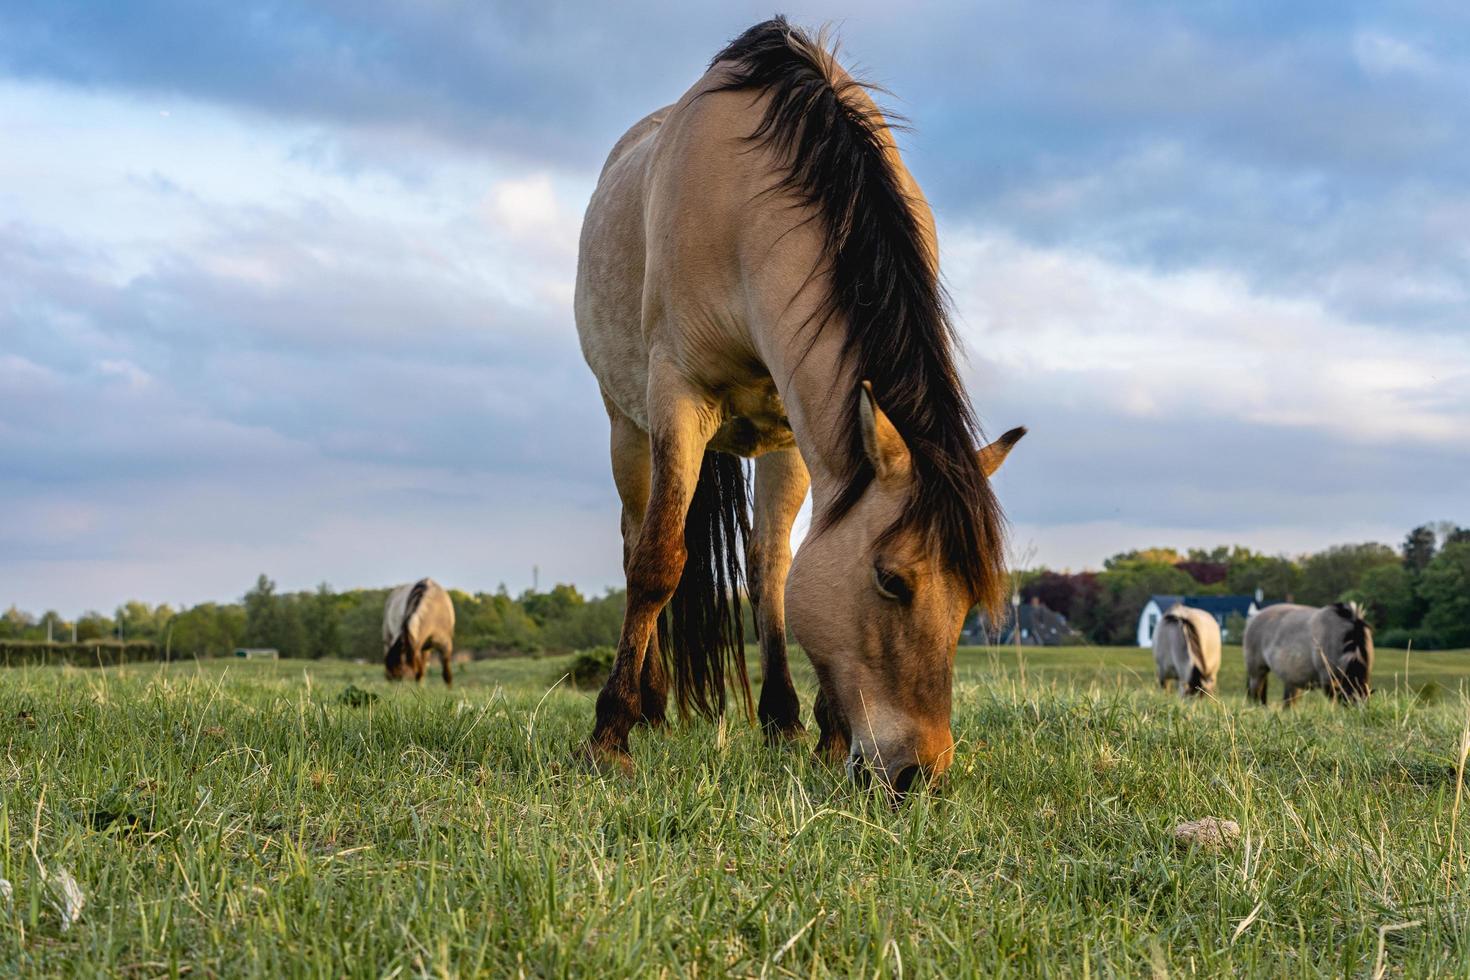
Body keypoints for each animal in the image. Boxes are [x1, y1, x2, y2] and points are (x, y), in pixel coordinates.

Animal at [570, 15, 1023, 799]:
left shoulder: (797, 430)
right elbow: (658, 561)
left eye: (971, 596)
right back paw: (648, 708)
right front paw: (608, 736)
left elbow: (777, 569)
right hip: (626, 426)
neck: (744, 210)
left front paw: (814, 731)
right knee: (636, 541)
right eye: (891, 580)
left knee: (761, 563)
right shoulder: (676, 396)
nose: (919, 775)